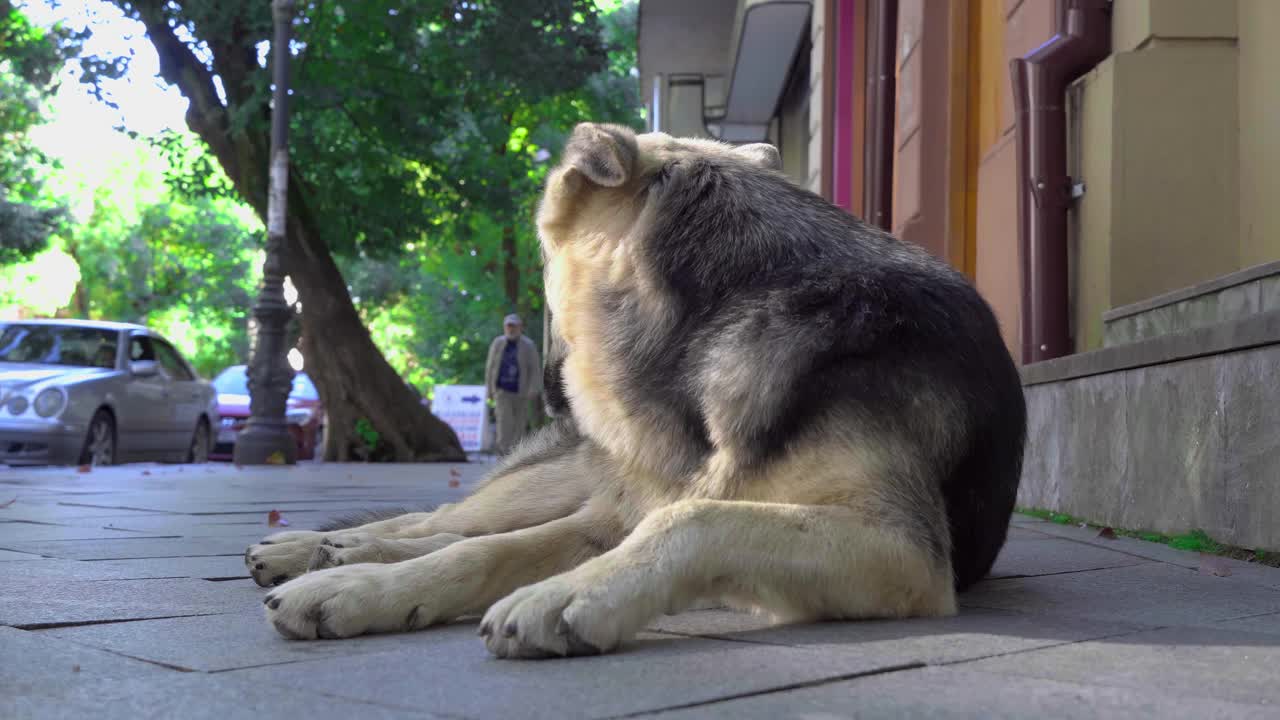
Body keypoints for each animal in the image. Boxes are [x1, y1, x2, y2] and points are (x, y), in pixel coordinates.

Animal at [241, 122, 1029, 655]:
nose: (531, 369)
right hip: (555, 485)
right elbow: (479, 554)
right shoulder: (607, 517)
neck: (716, 315)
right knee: (440, 524)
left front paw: (572, 593)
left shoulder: (900, 551)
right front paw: (359, 593)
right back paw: (319, 551)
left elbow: (694, 519)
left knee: (446, 528)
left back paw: (331, 554)